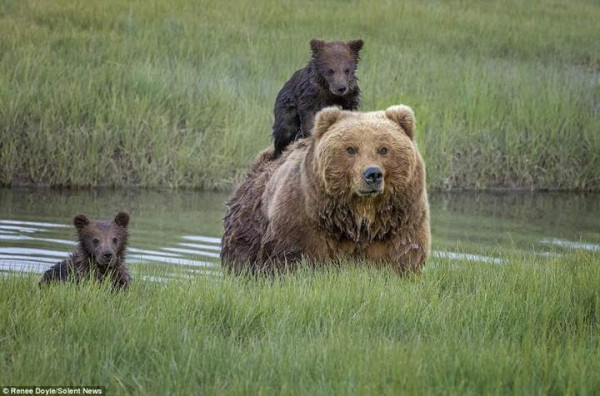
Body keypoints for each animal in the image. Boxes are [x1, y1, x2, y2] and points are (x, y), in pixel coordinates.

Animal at [223, 103, 428, 274]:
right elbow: (293, 256)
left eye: (384, 149)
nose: (373, 174)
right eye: (351, 149)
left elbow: (401, 256)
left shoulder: (398, 222)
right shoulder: (302, 217)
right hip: (247, 229)